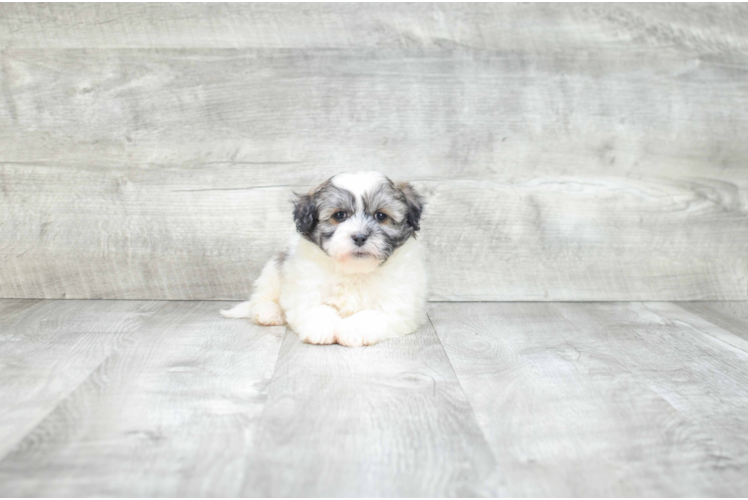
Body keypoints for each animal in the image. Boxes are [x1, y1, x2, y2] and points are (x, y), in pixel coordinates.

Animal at [219, 170, 426, 346]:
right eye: (339, 215)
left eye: (380, 216)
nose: (359, 236)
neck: (353, 271)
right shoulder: (305, 287)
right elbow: (318, 309)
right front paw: (322, 328)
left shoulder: (399, 303)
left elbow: (372, 315)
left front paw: (354, 330)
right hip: (274, 270)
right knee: (261, 297)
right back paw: (269, 312)